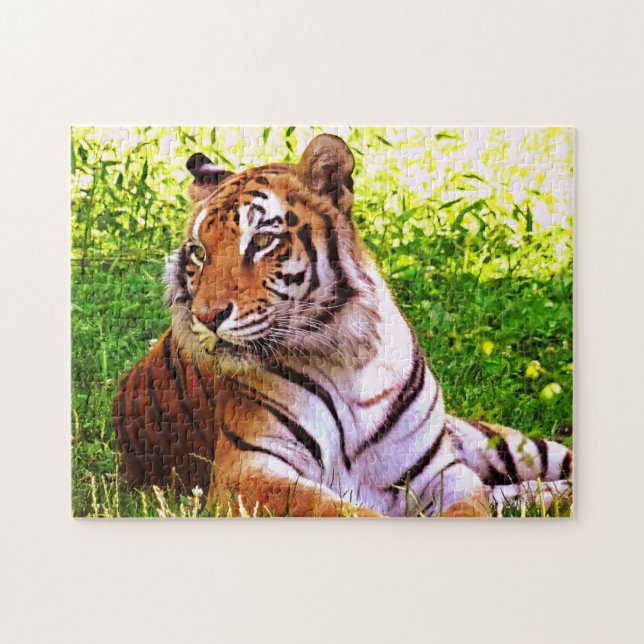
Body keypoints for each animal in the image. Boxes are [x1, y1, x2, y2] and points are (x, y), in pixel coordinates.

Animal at [113, 133, 573, 517]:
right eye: (198, 253)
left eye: (261, 241)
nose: (206, 317)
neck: (348, 358)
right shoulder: (246, 473)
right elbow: (345, 512)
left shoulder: (445, 472)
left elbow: (469, 509)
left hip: (505, 444)